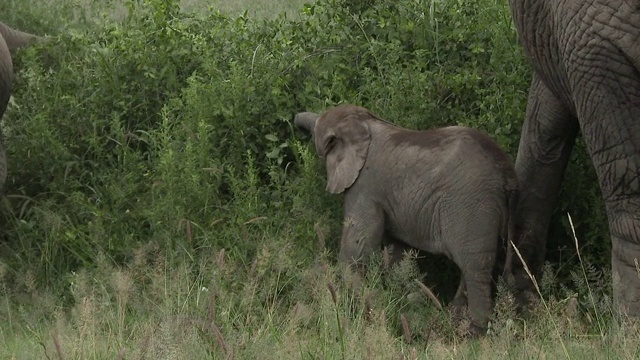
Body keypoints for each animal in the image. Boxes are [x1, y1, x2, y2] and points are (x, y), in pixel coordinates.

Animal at [296, 103, 520, 332]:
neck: (363, 123)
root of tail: (508, 176)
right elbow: (397, 255)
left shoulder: (365, 187)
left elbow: (355, 250)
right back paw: (454, 320)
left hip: (472, 206)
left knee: (476, 267)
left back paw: (474, 333)